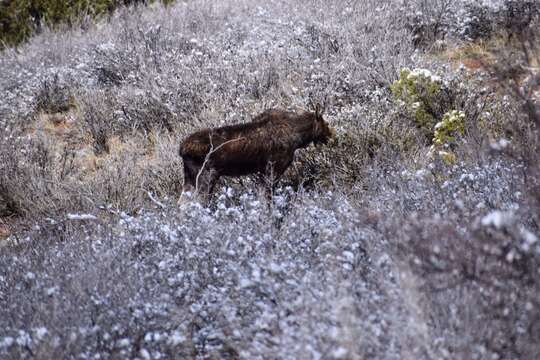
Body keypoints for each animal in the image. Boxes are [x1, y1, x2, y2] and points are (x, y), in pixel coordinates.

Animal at [179, 105, 336, 197]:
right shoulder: (274, 168)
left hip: (190, 178)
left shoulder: (263, 171)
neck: (299, 137)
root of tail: (181, 149)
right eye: (326, 124)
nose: (331, 135)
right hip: (206, 176)